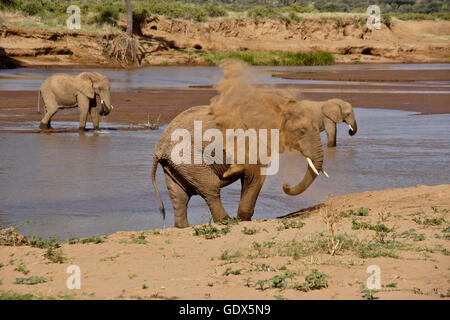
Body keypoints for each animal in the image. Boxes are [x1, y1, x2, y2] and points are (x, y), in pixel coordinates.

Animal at [152, 98, 326, 228]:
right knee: (210, 187)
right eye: (302, 131)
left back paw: (183, 227)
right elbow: (255, 176)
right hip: (187, 158)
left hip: (174, 164)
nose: (286, 185)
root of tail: (159, 147)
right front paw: (244, 219)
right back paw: (227, 221)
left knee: (179, 196)